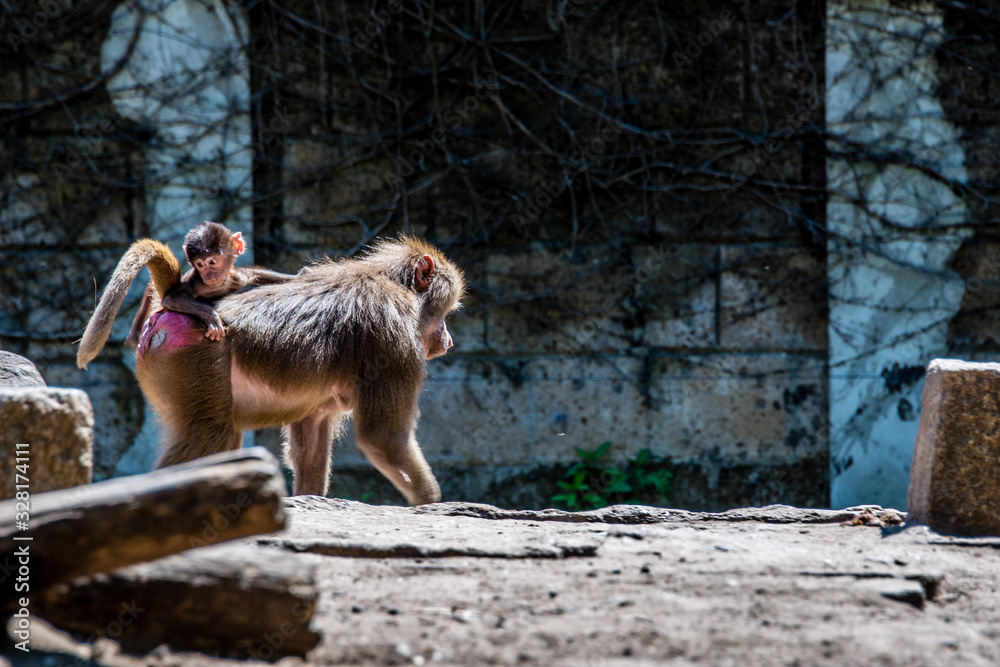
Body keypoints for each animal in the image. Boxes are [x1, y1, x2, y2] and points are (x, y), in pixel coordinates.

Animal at [79, 235, 464, 506]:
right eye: (445, 312)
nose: (448, 340)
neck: (393, 283)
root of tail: (173, 304)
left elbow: (311, 434)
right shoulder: (393, 340)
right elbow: (383, 437)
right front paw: (428, 502)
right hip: (195, 359)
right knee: (213, 437)